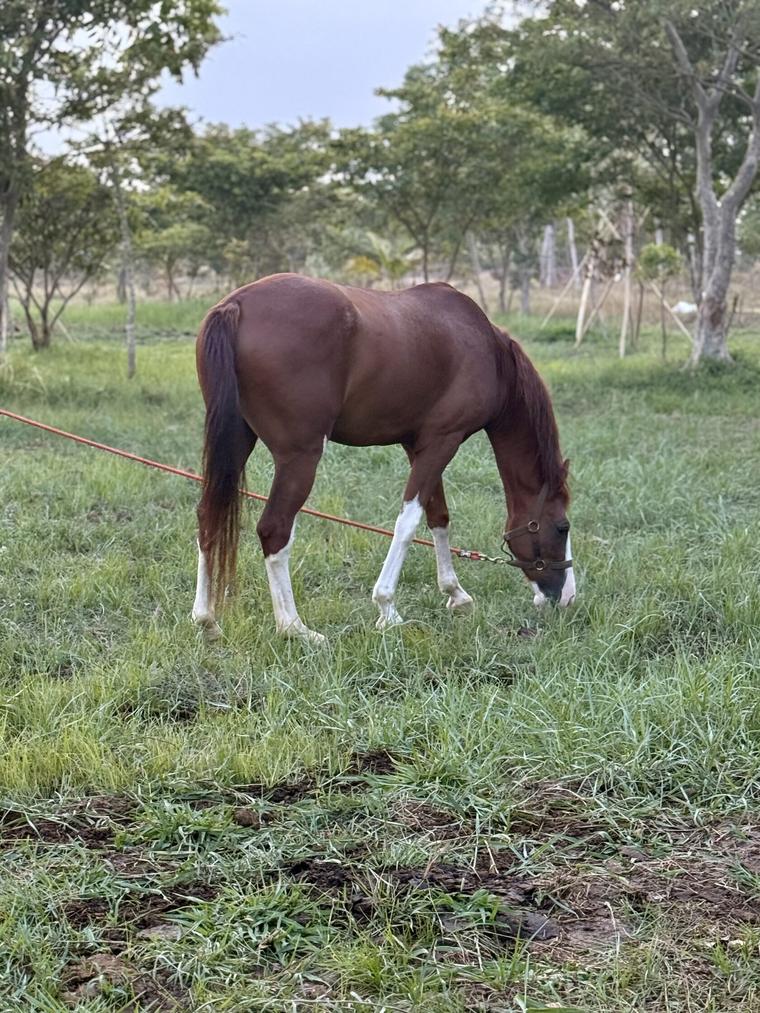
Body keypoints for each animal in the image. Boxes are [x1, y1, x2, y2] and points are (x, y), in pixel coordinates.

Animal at [191, 273, 574, 643]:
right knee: (274, 529)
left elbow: (438, 515)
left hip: (237, 441)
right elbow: (408, 522)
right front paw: (387, 608)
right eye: (562, 527)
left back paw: (207, 621)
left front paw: (456, 594)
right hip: (300, 458)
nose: (567, 597)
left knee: (209, 516)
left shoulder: (418, 446)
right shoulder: (443, 441)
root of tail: (235, 305)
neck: (488, 352)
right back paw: (294, 628)